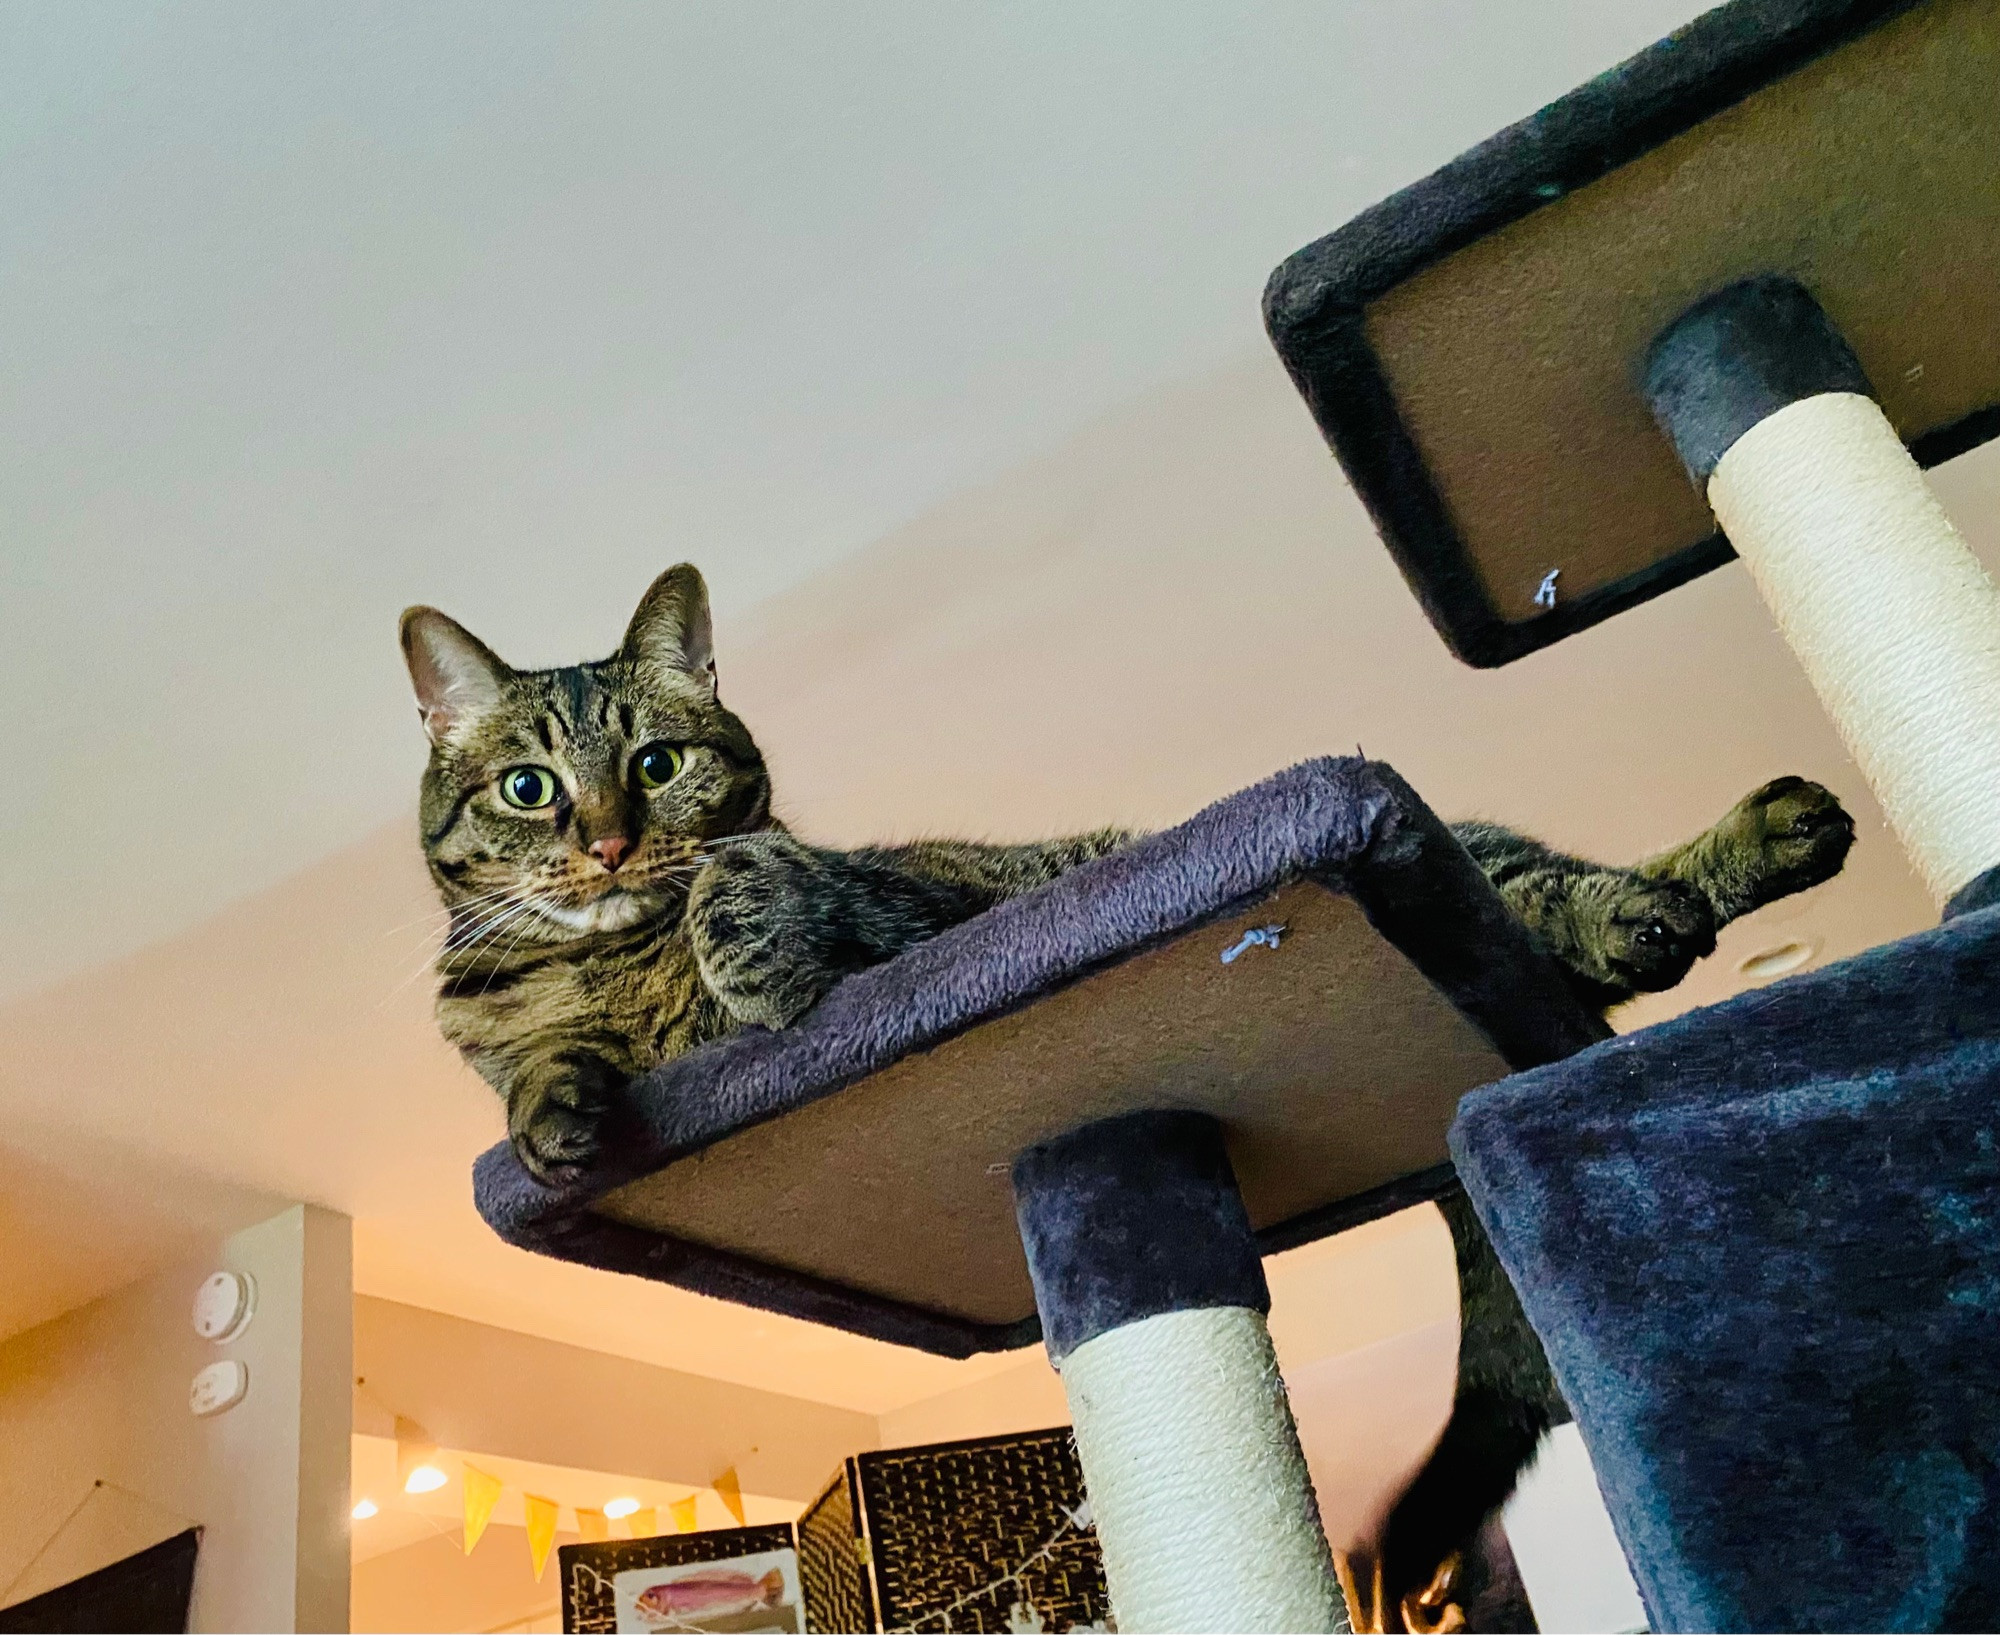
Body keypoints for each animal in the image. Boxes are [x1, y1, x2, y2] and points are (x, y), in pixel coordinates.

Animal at [398, 559, 1848, 1615]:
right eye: (529, 786)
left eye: (655, 764)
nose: (606, 842)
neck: (618, 969)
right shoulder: (514, 1022)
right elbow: (530, 1070)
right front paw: (554, 1109)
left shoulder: (907, 900)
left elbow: (755, 876)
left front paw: (742, 936)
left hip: (1445, 853)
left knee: (1561, 891)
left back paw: (1725, 858)